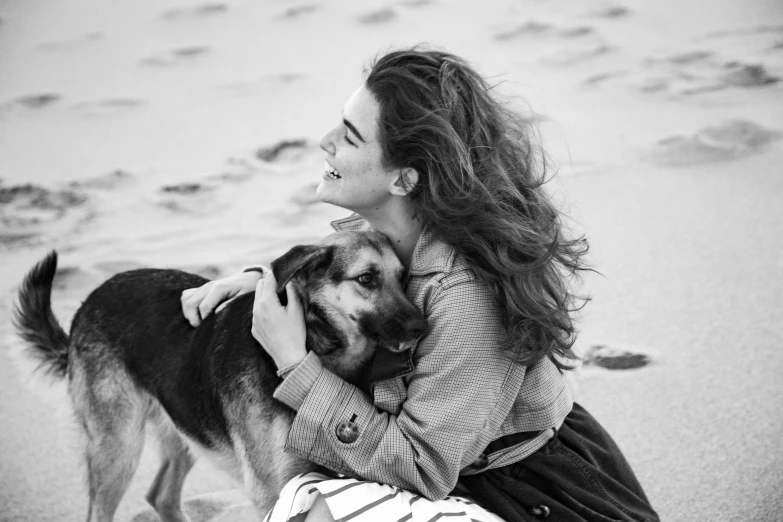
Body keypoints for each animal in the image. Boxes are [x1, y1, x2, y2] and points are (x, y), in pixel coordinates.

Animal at [13, 230, 428, 520]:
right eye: (367, 279)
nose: (421, 327)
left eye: (403, 277)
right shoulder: (274, 490)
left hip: (184, 423)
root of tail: (86, 305)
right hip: (118, 446)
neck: (314, 348)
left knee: (161, 495)